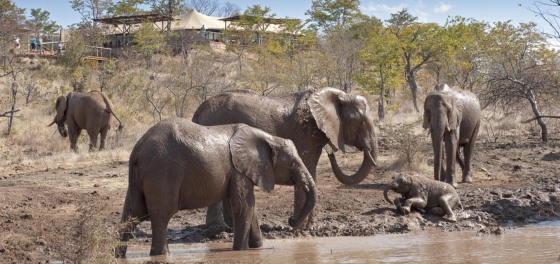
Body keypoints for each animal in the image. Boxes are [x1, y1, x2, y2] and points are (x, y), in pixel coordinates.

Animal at [192, 87, 380, 228]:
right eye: (362, 123)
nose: (331, 152)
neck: (338, 95)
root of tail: (197, 112)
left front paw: (308, 227)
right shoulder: (305, 132)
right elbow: (307, 167)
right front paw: (302, 229)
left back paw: (229, 228)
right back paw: (218, 230)